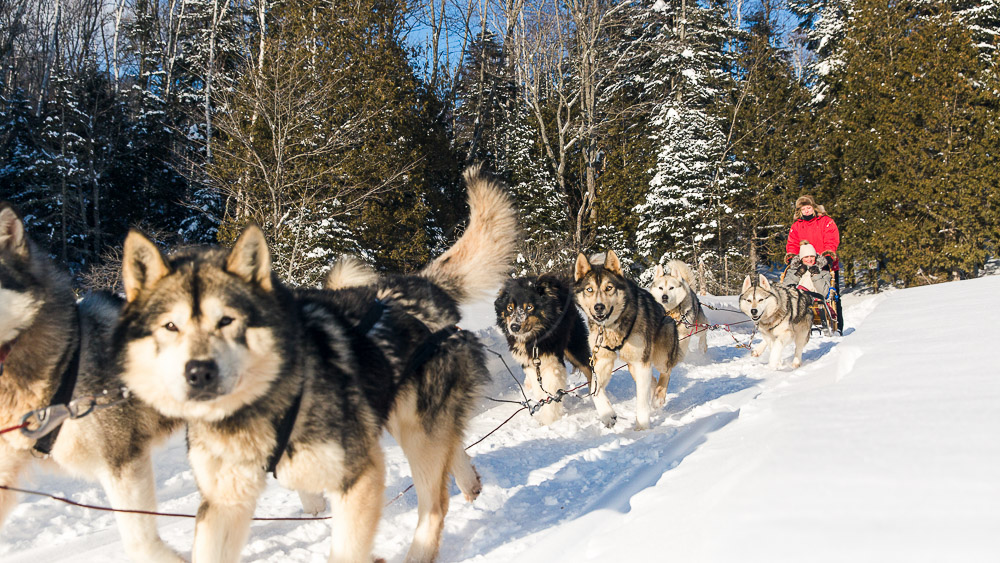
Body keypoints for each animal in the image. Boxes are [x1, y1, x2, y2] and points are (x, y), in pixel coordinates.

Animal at [119, 167, 516, 563]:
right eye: (171, 326)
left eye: (227, 321)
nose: (199, 373)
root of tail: (419, 284)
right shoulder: (223, 503)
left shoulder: (359, 476)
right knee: (452, 447)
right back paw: (470, 483)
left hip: (415, 432)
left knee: (434, 504)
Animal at [494, 276, 588, 426]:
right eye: (509, 307)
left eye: (529, 307)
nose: (514, 327)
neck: (533, 339)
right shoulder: (529, 362)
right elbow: (539, 388)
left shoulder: (552, 362)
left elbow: (551, 390)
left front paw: (547, 420)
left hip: (575, 346)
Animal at [576, 249, 684, 430]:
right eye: (589, 289)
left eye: (609, 288)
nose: (599, 307)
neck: (611, 327)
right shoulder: (602, 360)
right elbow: (594, 389)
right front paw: (607, 414)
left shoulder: (641, 364)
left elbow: (641, 400)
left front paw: (642, 427)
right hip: (632, 364)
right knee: (652, 379)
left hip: (660, 350)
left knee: (665, 372)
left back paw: (658, 397)